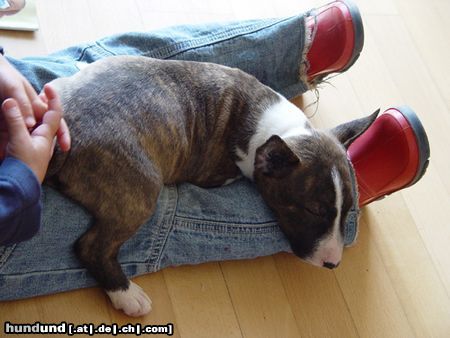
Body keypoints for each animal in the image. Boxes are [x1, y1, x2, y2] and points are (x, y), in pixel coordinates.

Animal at [46, 55, 376, 316]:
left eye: (349, 210)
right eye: (313, 211)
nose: (333, 264)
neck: (279, 130)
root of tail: (62, 139)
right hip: (140, 191)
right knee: (91, 247)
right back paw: (126, 295)